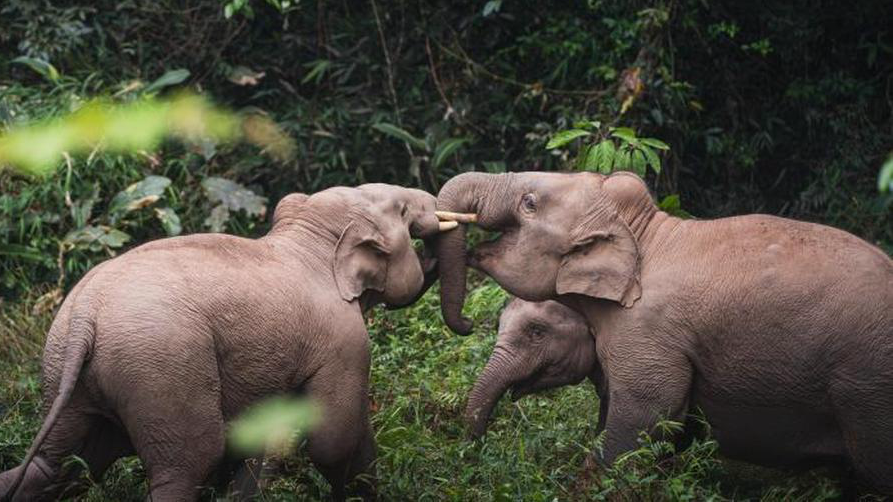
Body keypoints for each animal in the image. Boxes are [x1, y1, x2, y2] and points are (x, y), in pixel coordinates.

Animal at [0, 183, 453, 501]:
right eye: (402, 211)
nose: (435, 242)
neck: (307, 239)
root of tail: (83, 315)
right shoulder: (344, 343)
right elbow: (334, 439)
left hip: (67, 368)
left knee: (62, 464)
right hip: (161, 366)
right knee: (189, 462)